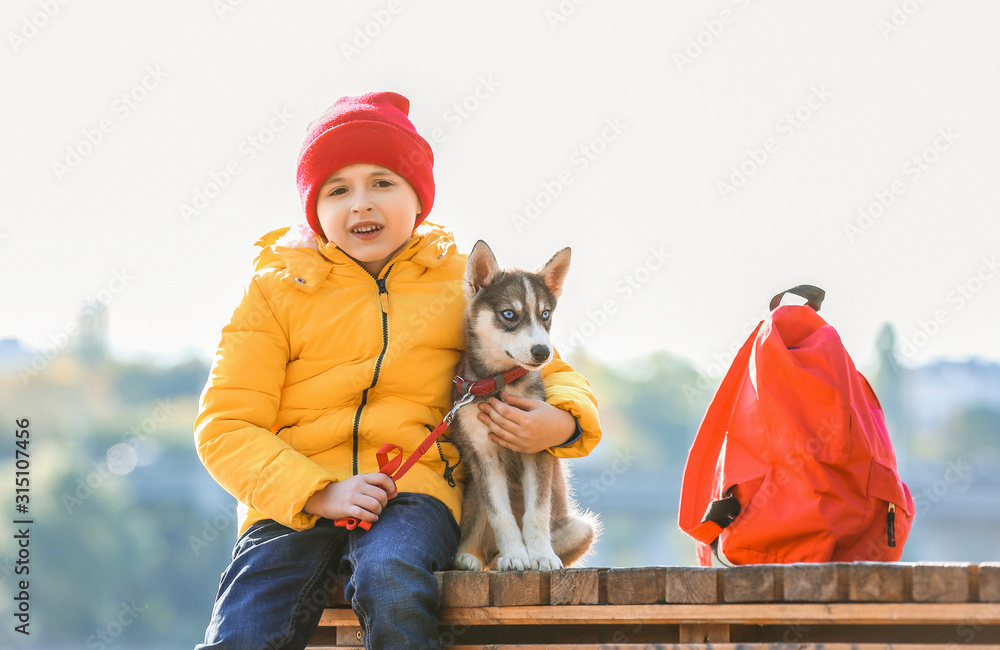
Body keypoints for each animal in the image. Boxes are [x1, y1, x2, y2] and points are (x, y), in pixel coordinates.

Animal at [450, 240, 596, 568]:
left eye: (545, 314)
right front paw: (516, 555)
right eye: (508, 314)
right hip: (474, 490)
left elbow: (537, 512)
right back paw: (470, 556)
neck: (499, 383)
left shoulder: (538, 448)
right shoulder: (484, 454)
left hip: (583, 528)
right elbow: (500, 514)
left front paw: (541, 555)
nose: (543, 352)